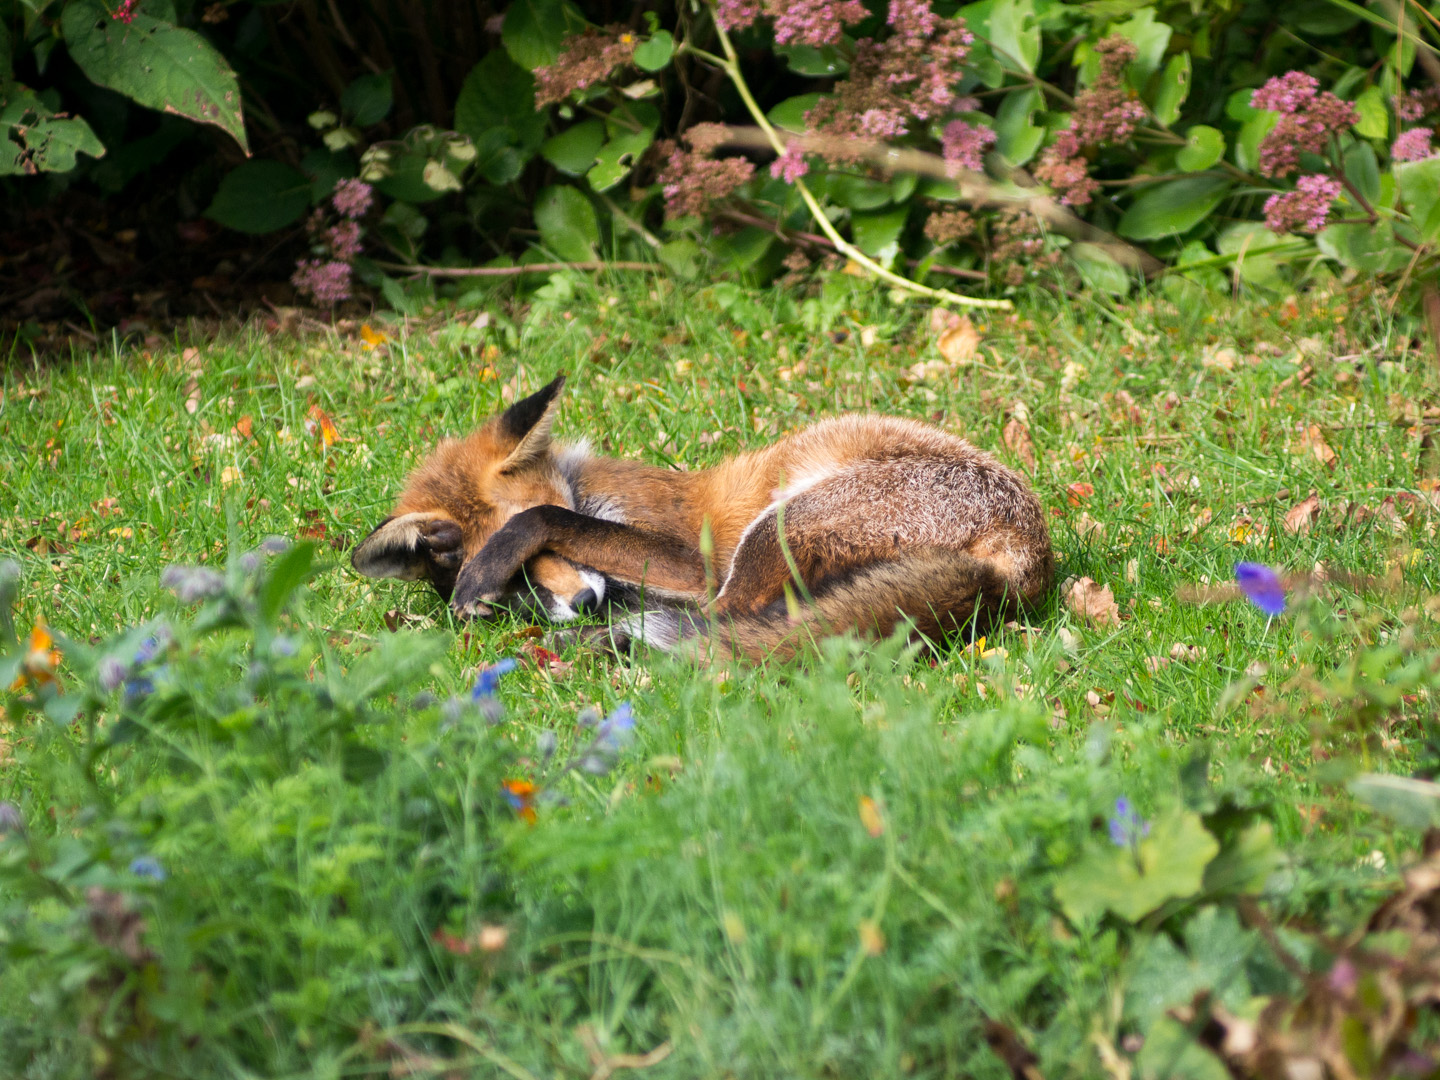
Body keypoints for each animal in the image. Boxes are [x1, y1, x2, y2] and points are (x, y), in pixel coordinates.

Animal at [351, 374, 1054, 662]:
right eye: (525, 578)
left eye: (521, 559)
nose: (583, 601)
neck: (589, 485)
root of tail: (1023, 565)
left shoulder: (691, 561)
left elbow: (551, 515)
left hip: (773, 529)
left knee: (725, 620)